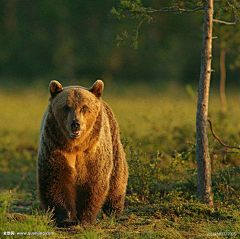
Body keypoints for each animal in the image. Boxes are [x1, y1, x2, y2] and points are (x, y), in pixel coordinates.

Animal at [36, 80, 128, 226]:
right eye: (66, 107)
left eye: (84, 107)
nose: (75, 124)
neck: (75, 146)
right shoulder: (54, 145)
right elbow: (56, 178)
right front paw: (66, 217)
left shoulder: (93, 151)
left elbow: (93, 181)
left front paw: (84, 218)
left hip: (113, 141)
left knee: (117, 176)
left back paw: (114, 210)